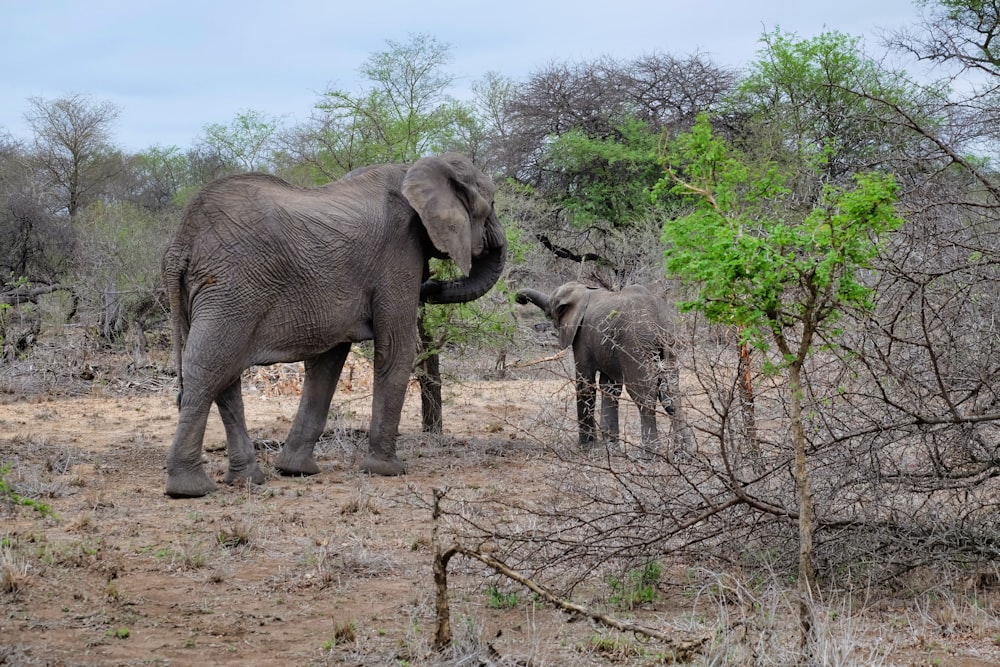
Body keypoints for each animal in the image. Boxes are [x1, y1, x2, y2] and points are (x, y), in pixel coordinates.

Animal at [166, 151, 508, 496]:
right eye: (491, 203)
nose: (434, 284)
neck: (415, 168)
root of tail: (180, 243)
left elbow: (327, 363)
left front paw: (295, 471)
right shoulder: (399, 252)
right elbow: (395, 350)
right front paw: (388, 471)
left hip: (209, 293)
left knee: (224, 377)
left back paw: (247, 479)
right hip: (231, 289)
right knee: (208, 369)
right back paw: (189, 489)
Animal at [516, 282, 688, 460]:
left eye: (549, 311)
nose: (519, 299)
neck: (583, 291)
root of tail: (659, 320)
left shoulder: (582, 336)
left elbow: (585, 384)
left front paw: (587, 447)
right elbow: (609, 387)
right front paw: (611, 448)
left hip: (636, 344)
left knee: (643, 394)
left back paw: (647, 455)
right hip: (670, 344)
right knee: (671, 394)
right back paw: (684, 454)